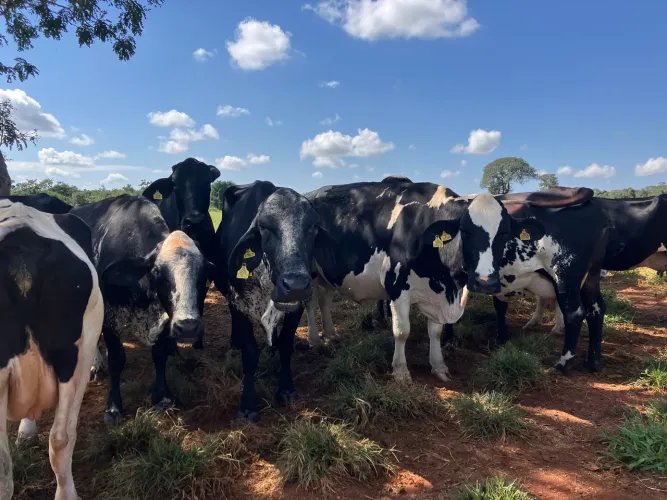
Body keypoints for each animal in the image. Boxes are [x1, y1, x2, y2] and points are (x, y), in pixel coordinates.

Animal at [69, 195, 213, 424]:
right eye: (157, 271)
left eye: (204, 273)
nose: (188, 326)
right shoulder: (109, 317)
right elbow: (116, 359)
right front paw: (113, 407)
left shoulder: (164, 319)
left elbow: (159, 354)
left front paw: (162, 398)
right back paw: (95, 365)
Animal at [214, 181, 337, 422]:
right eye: (264, 228)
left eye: (313, 227)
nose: (296, 285)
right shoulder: (239, 305)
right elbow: (250, 353)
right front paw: (247, 405)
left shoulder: (296, 308)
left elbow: (285, 345)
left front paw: (286, 389)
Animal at [304, 181, 470, 383]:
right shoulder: (396, 286)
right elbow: (402, 331)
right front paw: (400, 370)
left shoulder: (437, 294)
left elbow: (435, 332)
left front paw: (439, 366)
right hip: (310, 272)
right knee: (310, 303)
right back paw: (314, 340)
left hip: (329, 273)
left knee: (324, 301)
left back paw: (331, 334)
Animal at [455, 188, 610, 372]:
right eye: (464, 230)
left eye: (504, 232)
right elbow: (500, 306)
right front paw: (501, 338)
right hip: (591, 276)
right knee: (596, 309)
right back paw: (592, 362)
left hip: (565, 276)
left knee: (575, 313)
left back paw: (563, 362)